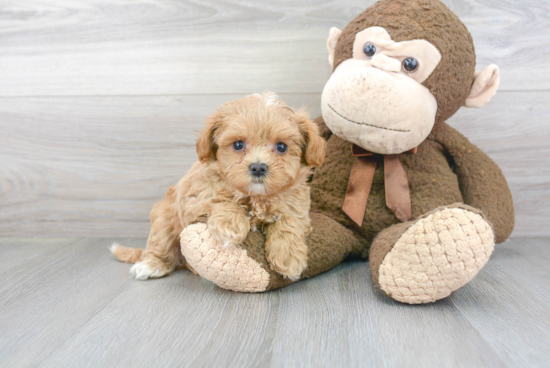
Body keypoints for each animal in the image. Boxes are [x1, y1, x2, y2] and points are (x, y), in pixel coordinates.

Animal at [112, 92, 328, 282]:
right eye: (238, 144)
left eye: (282, 147)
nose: (258, 167)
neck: (255, 197)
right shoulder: (195, 200)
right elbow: (221, 200)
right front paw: (230, 224)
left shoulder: (297, 207)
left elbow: (289, 222)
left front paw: (289, 258)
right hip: (164, 218)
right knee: (160, 244)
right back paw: (150, 265)